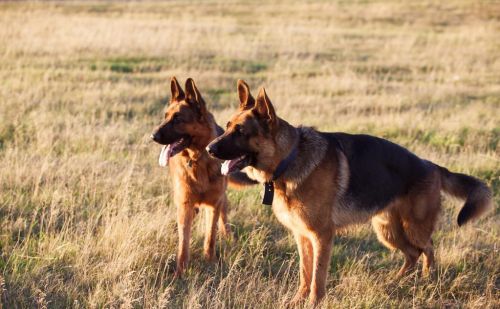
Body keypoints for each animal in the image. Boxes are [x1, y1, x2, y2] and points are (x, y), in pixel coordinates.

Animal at [150, 76, 254, 276]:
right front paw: (181, 271)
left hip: (220, 199)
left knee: (223, 215)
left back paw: (228, 235)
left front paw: (210, 261)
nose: (152, 136)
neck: (198, 159)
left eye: (177, 118)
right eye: (165, 116)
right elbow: (183, 242)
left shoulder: (213, 203)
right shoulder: (185, 204)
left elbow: (210, 236)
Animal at [206, 79, 492, 304]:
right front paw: (297, 300)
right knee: (412, 254)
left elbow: (318, 276)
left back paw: (426, 280)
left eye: (240, 131)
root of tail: (431, 166)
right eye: (227, 125)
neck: (289, 158)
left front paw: (314, 302)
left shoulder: (322, 235)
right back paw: (396, 281)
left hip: (414, 228)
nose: (208, 148)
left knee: (428, 250)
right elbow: (305, 272)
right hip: (387, 230)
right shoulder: (302, 236)